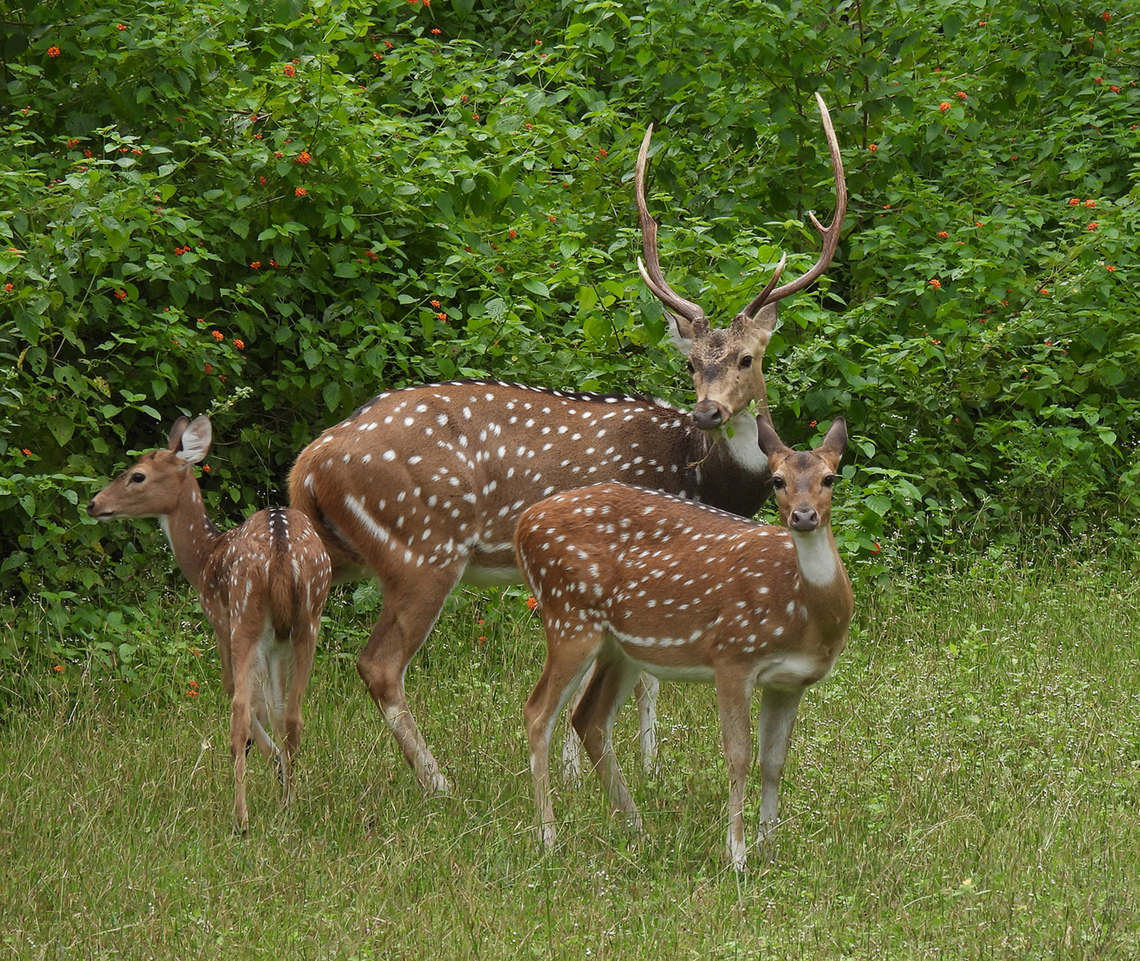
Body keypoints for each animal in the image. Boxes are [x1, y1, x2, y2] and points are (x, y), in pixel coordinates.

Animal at [87, 415, 332, 834]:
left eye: (137, 475)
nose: (94, 503)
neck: (204, 559)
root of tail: (282, 553)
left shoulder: (219, 621)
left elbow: (244, 699)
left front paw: (273, 768)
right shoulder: (276, 643)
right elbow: (274, 707)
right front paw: (282, 779)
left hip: (244, 616)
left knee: (237, 709)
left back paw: (241, 819)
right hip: (308, 620)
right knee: (295, 715)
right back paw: (289, 806)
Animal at [287, 92, 846, 795]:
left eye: (747, 358)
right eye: (692, 363)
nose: (707, 411)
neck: (698, 475)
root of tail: (306, 465)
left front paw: (624, 767)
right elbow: (634, 678)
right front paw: (616, 771)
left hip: (343, 553)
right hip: (423, 546)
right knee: (379, 663)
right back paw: (441, 786)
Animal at [515, 415, 852, 870]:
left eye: (829, 478)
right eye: (777, 480)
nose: (802, 516)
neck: (802, 613)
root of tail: (523, 524)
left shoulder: (790, 682)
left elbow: (774, 761)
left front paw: (769, 850)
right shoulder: (732, 654)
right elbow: (739, 756)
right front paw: (737, 856)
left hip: (621, 646)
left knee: (589, 719)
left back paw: (637, 827)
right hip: (569, 616)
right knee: (538, 713)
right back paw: (549, 837)